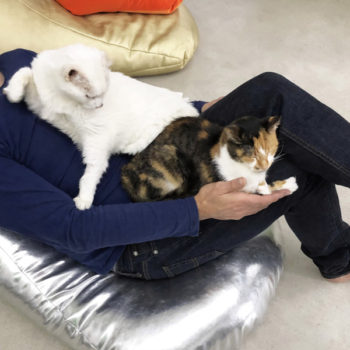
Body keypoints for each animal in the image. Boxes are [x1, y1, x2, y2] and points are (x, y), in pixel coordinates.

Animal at [4, 45, 198, 212]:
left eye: (103, 94)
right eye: (90, 96)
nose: (100, 105)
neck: (65, 100)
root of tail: (190, 108)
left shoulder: (97, 140)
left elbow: (92, 172)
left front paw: (84, 198)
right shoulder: (39, 104)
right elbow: (24, 71)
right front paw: (12, 92)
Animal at [121, 115, 298, 202]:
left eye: (269, 150)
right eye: (252, 155)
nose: (265, 165)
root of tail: (124, 176)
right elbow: (266, 189)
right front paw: (290, 184)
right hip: (170, 156)